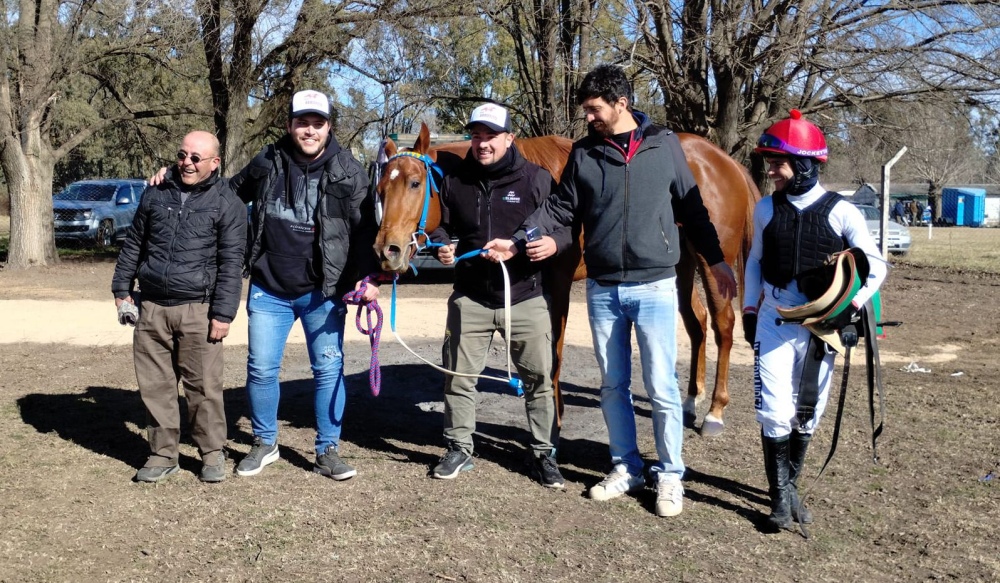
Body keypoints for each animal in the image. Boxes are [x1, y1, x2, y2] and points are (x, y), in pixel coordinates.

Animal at [374, 122, 756, 434]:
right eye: (380, 189)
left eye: (415, 183)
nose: (386, 250)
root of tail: (726, 162)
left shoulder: (556, 282)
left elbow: (552, 348)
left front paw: (553, 420)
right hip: (678, 265)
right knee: (696, 321)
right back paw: (691, 400)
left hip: (713, 261)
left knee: (723, 324)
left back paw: (714, 411)